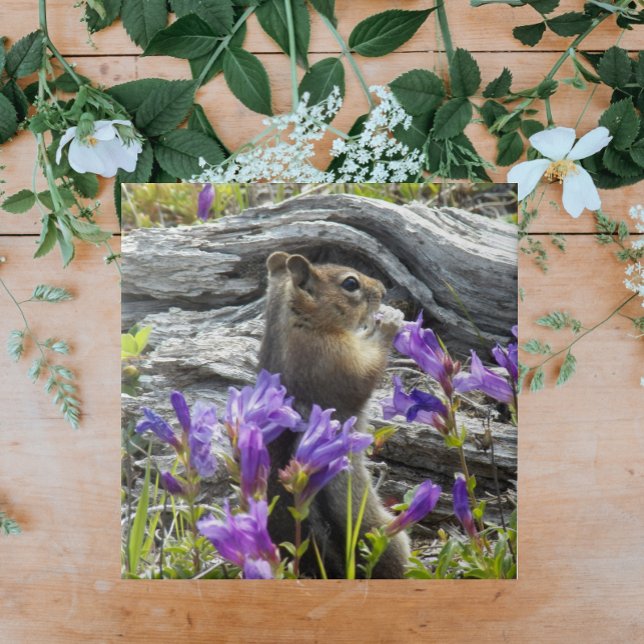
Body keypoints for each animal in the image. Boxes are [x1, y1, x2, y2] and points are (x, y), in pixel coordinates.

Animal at [258, 251, 410, 579]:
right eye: (351, 283)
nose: (382, 289)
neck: (293, 324)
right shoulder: (338, 358)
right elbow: (367, 369)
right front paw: (388, 323)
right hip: (387, 536)